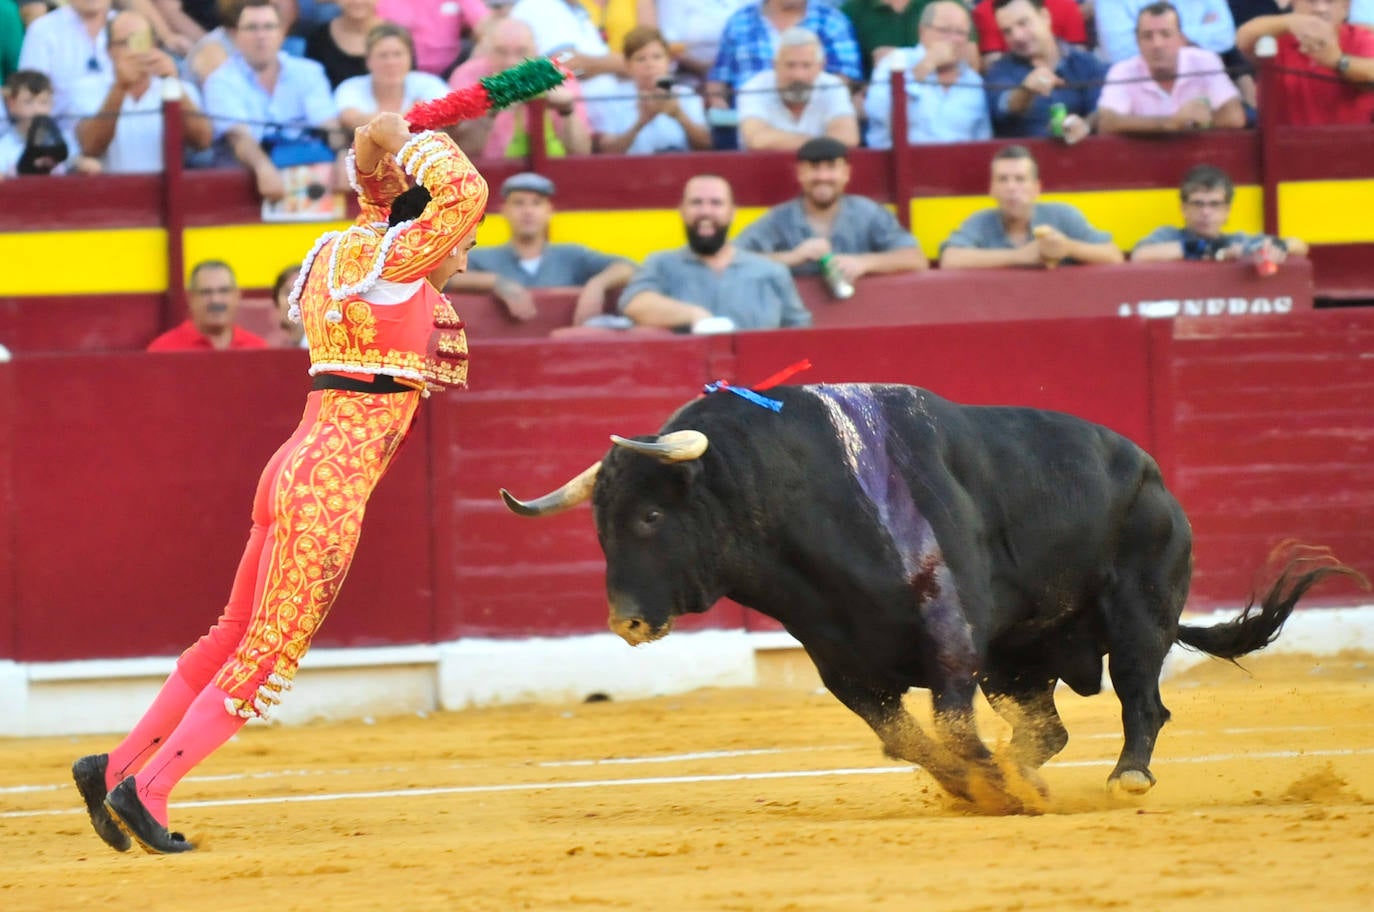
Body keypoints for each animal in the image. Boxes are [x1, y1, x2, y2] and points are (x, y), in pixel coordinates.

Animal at [502, 381, 1363, 807]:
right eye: (601, 526)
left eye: (650, 516)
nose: (626, 621)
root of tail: (1150, 471)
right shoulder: (843, 665)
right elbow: (906, 740)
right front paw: (974, 786)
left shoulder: (949, 636)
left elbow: (947, 725)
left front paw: (988, 782)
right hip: (1019, 659)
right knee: (1047, 727)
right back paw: (1028, 774)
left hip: (1138, 614)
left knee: (1143, 701)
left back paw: (1127, 779)